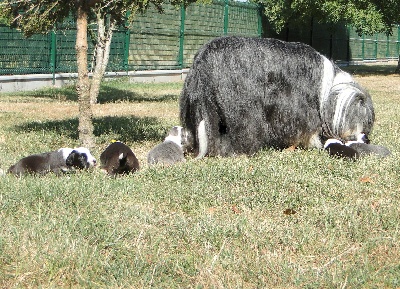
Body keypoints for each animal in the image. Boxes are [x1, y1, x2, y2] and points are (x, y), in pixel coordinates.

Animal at [181, 36, 376, 158]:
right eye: (364, 122)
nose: (364, 137)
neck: (328, 90)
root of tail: (203, 60)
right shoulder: (298, 106)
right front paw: (313, 142)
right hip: (242, 107)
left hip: (199, 107)